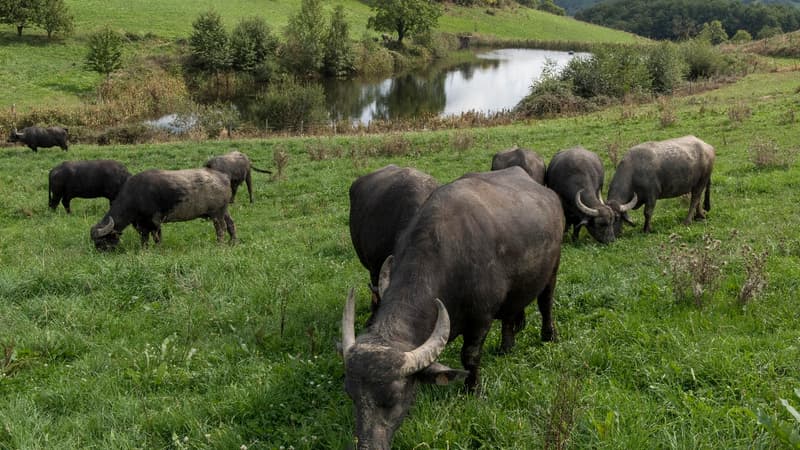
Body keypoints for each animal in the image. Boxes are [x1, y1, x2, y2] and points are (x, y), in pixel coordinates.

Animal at [90, 168, 236, 250]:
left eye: (101, 241)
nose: (99, 252)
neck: (136, 195)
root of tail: (224, 177)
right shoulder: (142, 223)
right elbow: (144, 238)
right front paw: (144, 250)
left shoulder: (154, 221)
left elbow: (156, 237)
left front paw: (158, 249)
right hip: (224, 211)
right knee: (230, 223)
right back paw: (233, 241)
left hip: (217, 214)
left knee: (221, 228)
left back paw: (220, 245)